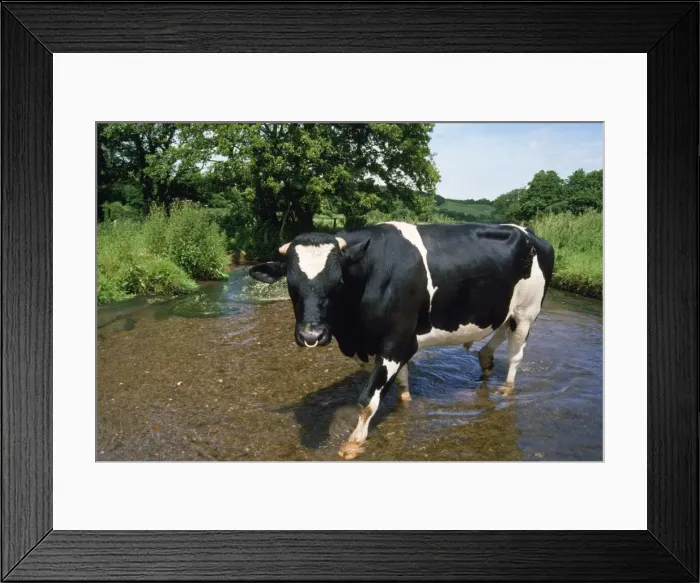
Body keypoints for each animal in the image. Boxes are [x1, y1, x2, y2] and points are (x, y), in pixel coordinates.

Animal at [249, 221, 555, 459]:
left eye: (338, 282)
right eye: (291, 284)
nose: (311, 335)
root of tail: (530, 233)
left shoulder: (395, 340)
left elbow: (368, 399)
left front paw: (354, 443)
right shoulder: (386, 342)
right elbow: (401, 379)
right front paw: (406, 400)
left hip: (527, 311)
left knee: (516, 353)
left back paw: (507, 388)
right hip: (506, 309)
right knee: (501, 330)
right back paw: (485, 359)